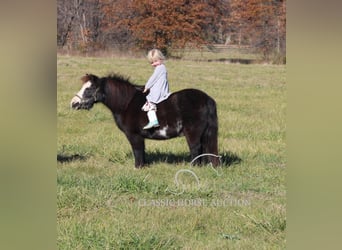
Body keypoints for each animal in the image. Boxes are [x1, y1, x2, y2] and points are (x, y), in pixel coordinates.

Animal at [70, 73, 219, 168]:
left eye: (89, 88)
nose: (73, 103)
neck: (127, 103)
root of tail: (207, 99)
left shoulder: (133, 135)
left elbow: (137, 151)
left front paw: (138, 167)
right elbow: (142, 151)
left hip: (192, 133)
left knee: (195, 149)